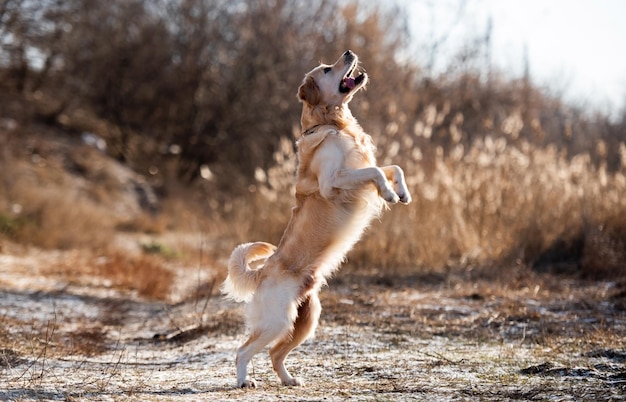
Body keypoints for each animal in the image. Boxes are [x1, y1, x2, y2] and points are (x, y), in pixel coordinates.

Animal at [222, 50, 412, 386]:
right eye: (325, 69)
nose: (349, 52)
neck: (334, 122)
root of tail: (262, 271)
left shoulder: (361, 167)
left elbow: (392, 167)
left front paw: (401, 192)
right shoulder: (332, 181)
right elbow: (376, 172)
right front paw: (389, 193)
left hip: (307, 319)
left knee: (275, 354)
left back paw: (289, 380)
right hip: (277, 321)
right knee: (243, 350)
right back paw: (244, 380)